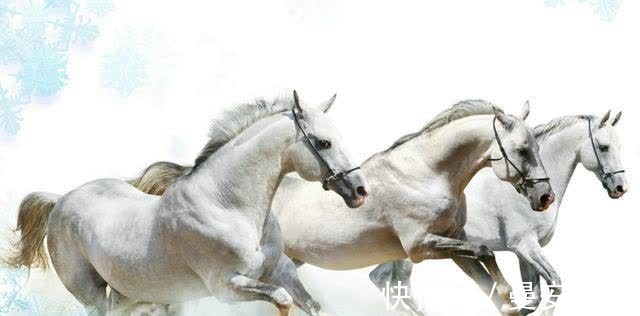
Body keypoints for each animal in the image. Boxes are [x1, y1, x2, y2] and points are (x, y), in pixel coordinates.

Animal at [5, 91, 368, 316]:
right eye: (323, 142)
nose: (360, 190)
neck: (227, 206)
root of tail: (61, 200)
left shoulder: (281, 268)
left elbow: (312, 304)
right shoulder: (227, 286)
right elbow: (282, 300)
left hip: (131, 292)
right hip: (92, 296)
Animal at [129, 100, 556, 314]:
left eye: (536, 146)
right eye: (522, 149)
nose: (544, 197)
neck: (426, 172)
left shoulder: (451, 241)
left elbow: (486, 264)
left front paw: (511, 300)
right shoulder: (421, 247)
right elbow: (485, 251)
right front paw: (515, 298)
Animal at [372, 110, 628, 314]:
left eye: (619, 146)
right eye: (604, 147)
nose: (620, 188)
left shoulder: (523, 252)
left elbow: (533, 299)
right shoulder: (525, 245)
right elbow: (554, 284)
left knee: (382, 279)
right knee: (390, 282)